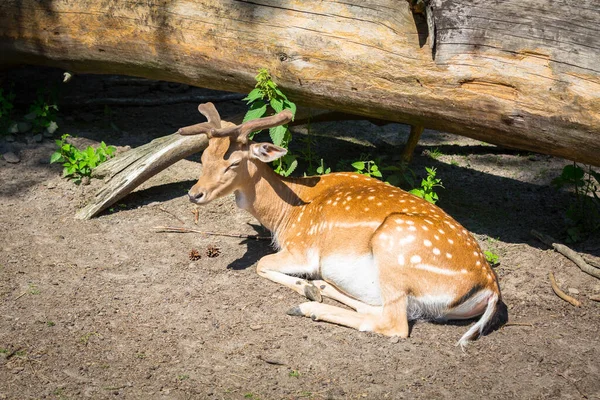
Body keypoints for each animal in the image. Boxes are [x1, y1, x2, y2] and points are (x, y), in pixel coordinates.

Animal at [178, 102, 506, 346]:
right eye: (204, 156)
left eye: (233, 163)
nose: (195, 193)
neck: (285, 214)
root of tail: (490, 289)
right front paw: (309, 287)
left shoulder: (303, 249)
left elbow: (261, 264)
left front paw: (304, 288)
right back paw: (321, 288)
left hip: (395, 242)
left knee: (395, 324)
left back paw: (308, 305)